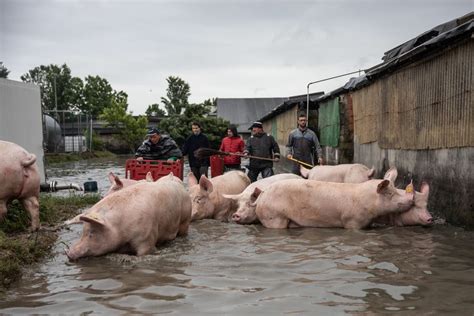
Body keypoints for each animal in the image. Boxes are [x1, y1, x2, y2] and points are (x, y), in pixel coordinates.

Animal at [254, 168, 412, 230]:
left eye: (395, 189)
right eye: (389, 193)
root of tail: (262, 194)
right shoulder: (351, 221)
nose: (411, 199)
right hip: (274, 216)